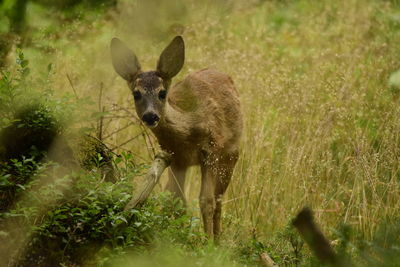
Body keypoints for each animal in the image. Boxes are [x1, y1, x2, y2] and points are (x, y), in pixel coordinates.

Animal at [111, 35, 245, 239]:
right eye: (136, 94)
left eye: (162, 93)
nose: (150, 116)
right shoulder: (175, 158)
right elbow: (176, 201)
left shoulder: (211, 151)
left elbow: (206, 200)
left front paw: (208, 243)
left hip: (231, 153)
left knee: (219, 198)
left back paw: (217, 238)